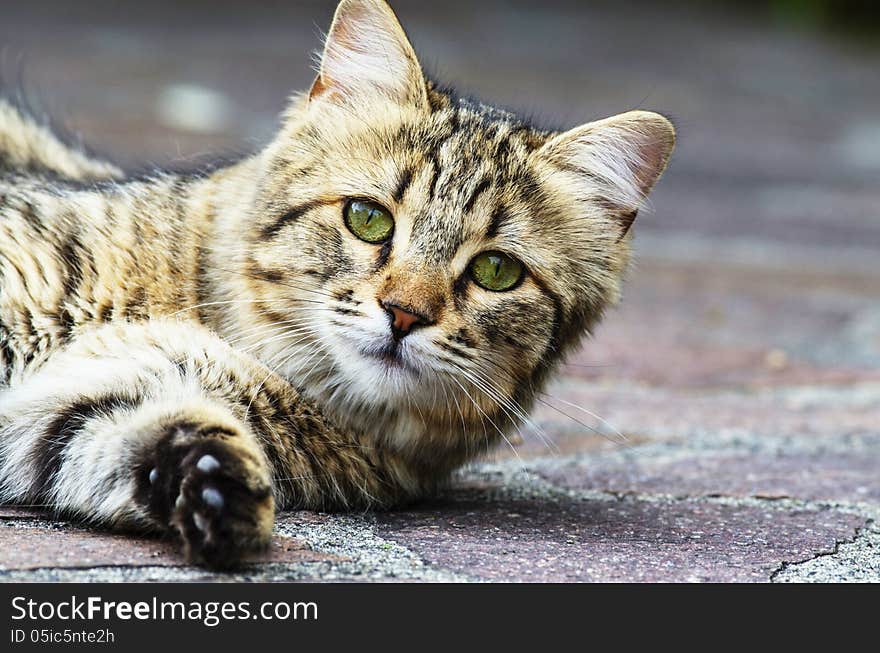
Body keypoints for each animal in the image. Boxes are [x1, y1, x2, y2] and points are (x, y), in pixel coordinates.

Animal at [0, 0, 676, 564]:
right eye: (367, 218)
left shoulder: (96, 401)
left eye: (496, 271)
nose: (404, 314)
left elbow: (144, 435)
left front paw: (219, 494)